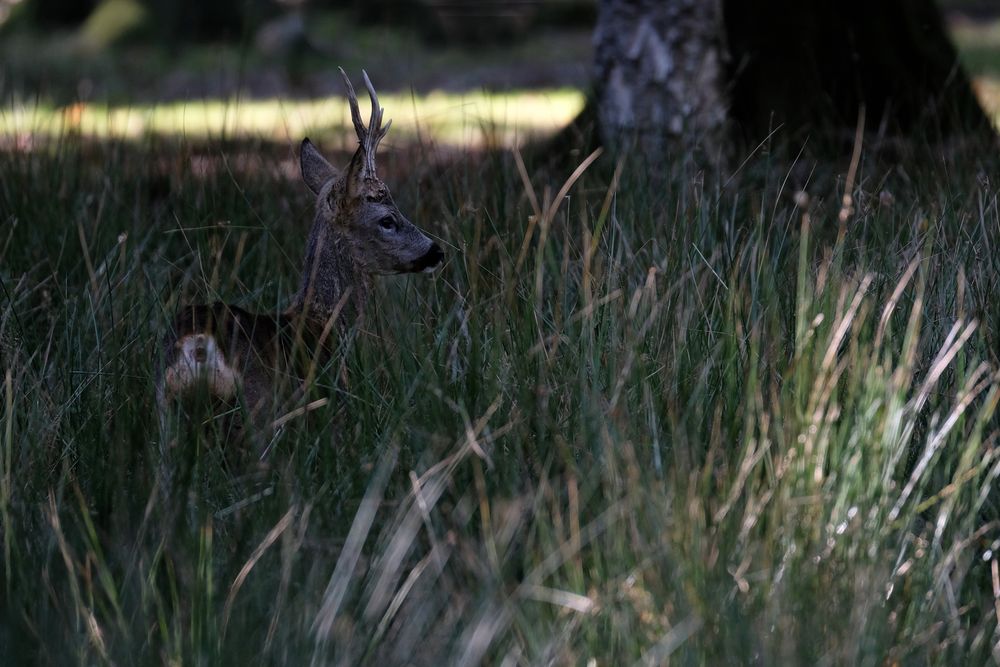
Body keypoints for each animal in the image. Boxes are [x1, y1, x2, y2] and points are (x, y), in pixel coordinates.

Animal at [155, 69, 442, 438]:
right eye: (387, 220)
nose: (437, 251)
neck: (324, 324)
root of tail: (198, 346)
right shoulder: (333, 404)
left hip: (165, 410)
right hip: (257, 410)